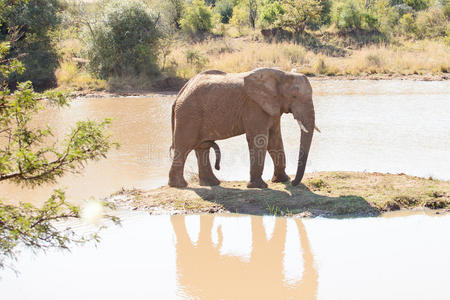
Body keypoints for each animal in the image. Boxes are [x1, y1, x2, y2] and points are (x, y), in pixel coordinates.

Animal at [168, 68, 316, 188]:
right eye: (294, 96)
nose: (294, 182)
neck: (282, 74)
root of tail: (180, 92)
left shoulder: (272, 107)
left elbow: (275, 139)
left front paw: (282, 180)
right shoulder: (255, 106)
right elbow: (260, 139)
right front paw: (259, 186)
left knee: (202, 148)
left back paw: (212, 183)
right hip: (188, 114)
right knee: (184, 146)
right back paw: (180, 185)